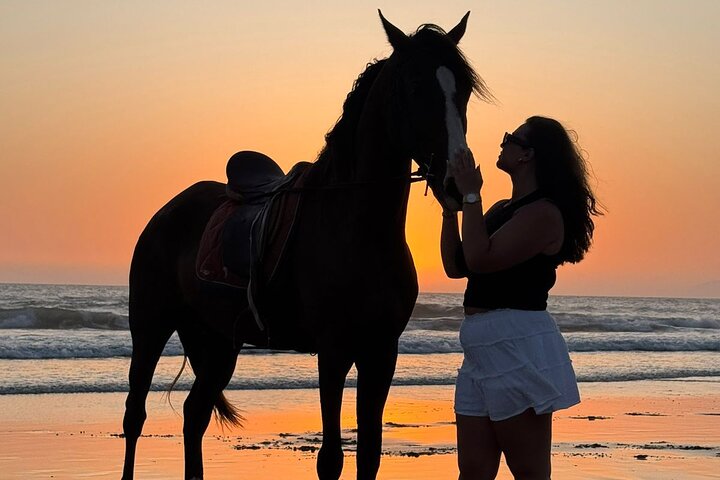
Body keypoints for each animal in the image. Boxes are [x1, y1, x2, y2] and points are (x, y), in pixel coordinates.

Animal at [121, 11, 488, 480]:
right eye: (412, 86)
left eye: (463, 90)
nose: (459, 183)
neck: (357, 229)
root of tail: (165, 213)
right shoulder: (332, 351)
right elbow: (331, 458)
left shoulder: (381, 352)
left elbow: (369, 454)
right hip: (151, 325)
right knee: (135, 415)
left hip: (218, 340)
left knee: (194, 415)